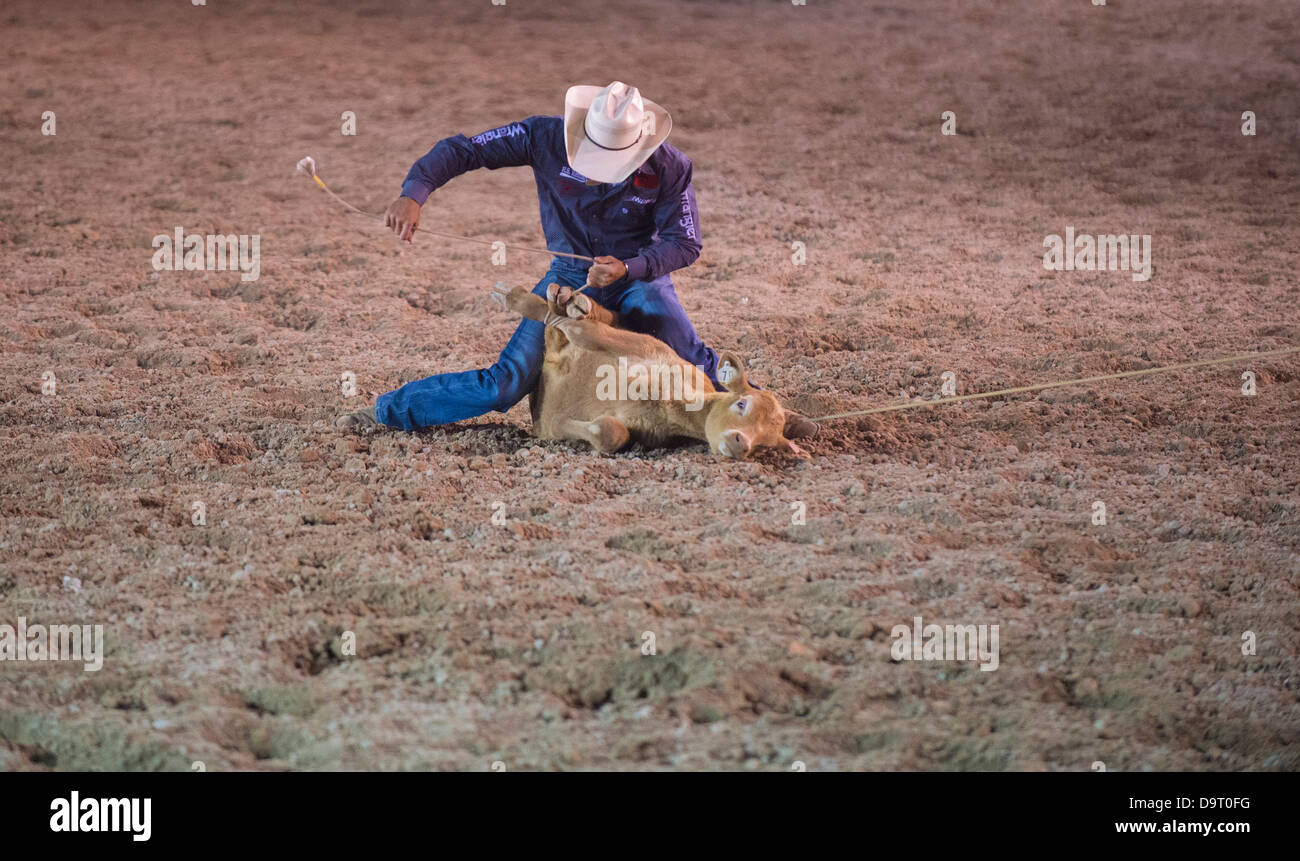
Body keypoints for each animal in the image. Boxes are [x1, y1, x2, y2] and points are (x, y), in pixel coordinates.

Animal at [491, 282, 800, 457]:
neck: (668, 399)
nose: (741, 444)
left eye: (766, 445)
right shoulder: (637, 345)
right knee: (575, 321)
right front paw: (521, 300)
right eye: (741, 404)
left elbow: (610, 433)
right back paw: (561, 299)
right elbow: (580, 330)